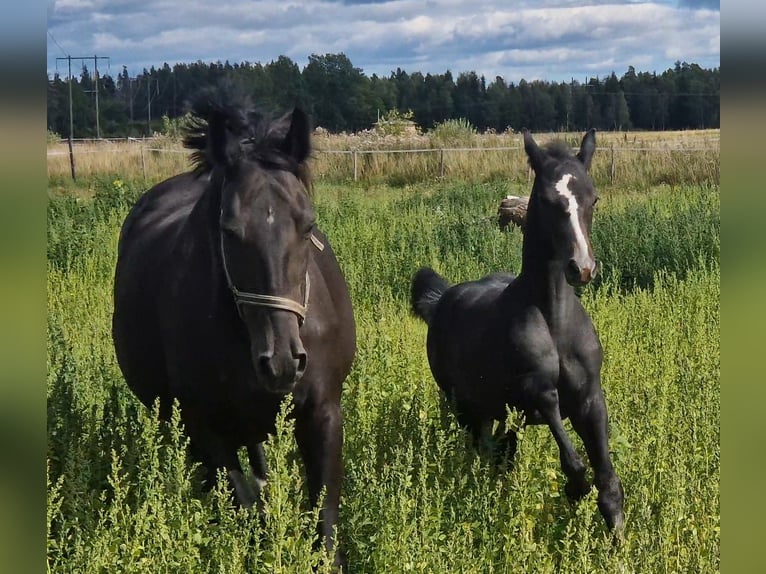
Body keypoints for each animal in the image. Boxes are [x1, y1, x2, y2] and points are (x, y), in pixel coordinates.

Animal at [112, 88, 356, 564]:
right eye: (229, 229)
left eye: (309, 223)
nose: (281, 361)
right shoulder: (203, 425)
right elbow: (247, 509)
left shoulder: (323, 412)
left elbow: (324, 521)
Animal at [414, 130, 624, 536]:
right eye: (546, 200)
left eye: (593, 198)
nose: (582, 268)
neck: (554, 321)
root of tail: (443, 299)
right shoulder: (535, 394)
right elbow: (575, 467)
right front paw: (574, 494)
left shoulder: (590, 397)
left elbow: (608, 481)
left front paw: (618, 539)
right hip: (466, 407)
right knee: (482, 450)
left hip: (497, 412)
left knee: (501, 453)